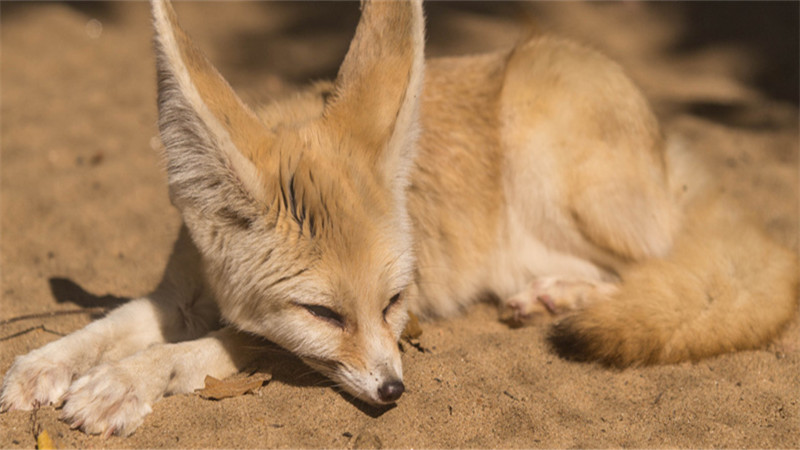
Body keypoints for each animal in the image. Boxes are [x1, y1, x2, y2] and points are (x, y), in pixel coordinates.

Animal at [1, 0, 800, 438]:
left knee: (663, 267)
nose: (394, 391)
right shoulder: (181, 292)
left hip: (553, 163)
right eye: (324, 312)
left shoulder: (343, 332)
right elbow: (114, 321)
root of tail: (673, 156)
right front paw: (48, 364)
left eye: (391, 303)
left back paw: (561, 297)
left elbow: (214, 346)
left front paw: (122, 382)